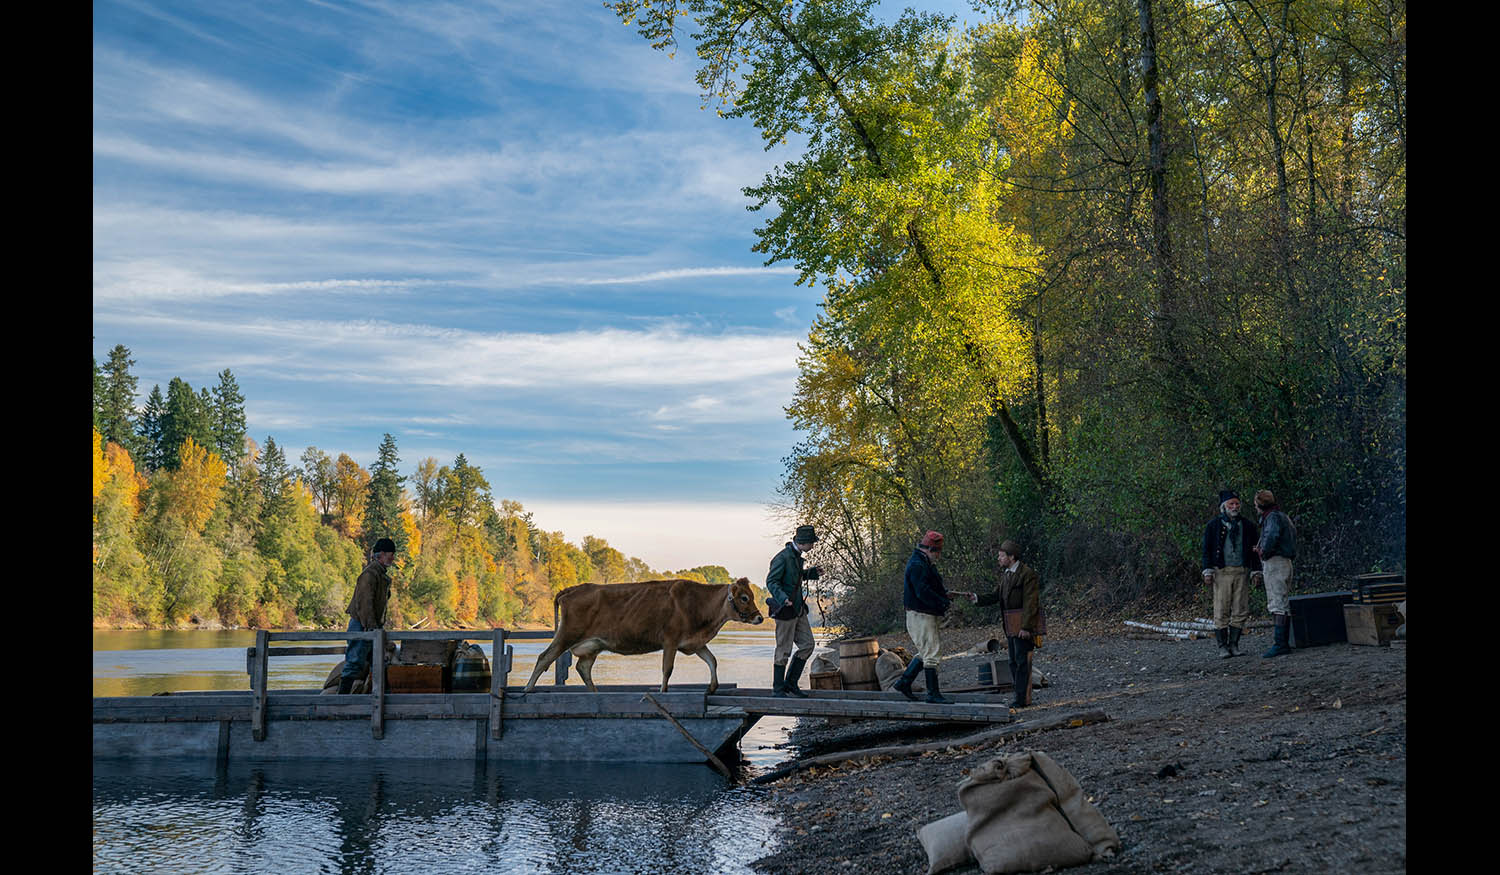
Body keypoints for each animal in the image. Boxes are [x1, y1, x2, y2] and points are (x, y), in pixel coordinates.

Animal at [525, 579, 762, 696]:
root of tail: (572, 589)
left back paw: (595, 693)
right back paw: (528, 689)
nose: (759, 617)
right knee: (544, 657)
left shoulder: (694, 643)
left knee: (583, 668)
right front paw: (663, 691)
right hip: (567, 634)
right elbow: (667, 669)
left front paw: (712, 687)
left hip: (592, 646)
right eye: (744, 597)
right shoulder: (670, 640)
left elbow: (712, 660)